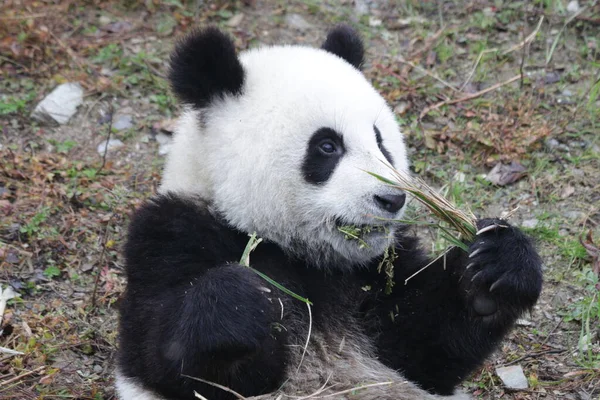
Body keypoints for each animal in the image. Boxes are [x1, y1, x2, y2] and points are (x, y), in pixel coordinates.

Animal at [117, 26, 544, 398]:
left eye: (380, 142)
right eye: (327, 146)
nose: (392, 199)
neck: (300, 253)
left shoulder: (375, 271)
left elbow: (425, 348)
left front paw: (496, 265)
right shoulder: (173, 235)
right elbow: (169, 360)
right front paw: (238, 299)